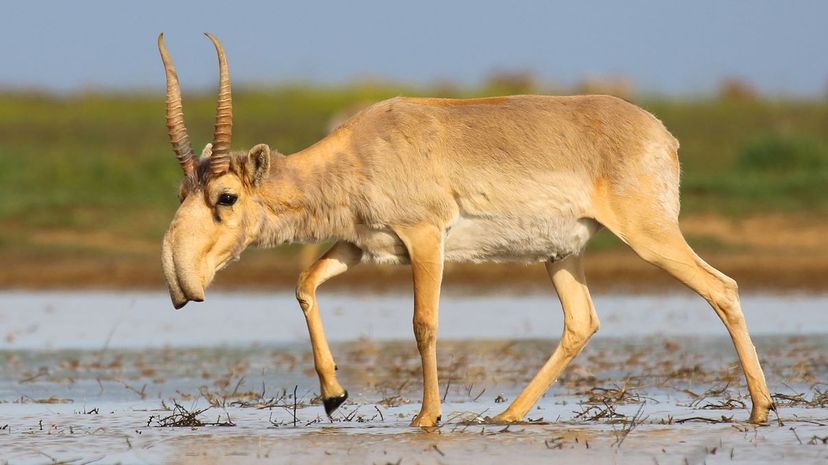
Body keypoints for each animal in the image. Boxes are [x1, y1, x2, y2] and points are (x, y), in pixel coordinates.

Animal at [157, 34, 776, 426]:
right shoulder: (360, 246)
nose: (180, 281)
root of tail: (662, 134)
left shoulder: (425, 239)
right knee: (581, 321)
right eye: (182, 192)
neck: (360, 149)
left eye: (226, 196)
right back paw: (507, 415)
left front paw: (426, 417)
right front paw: (334, 396)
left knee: (722, 287)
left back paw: (760, 409)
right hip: (561, 255)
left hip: (650, 236)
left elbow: (423, 323)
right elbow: (304, 284)